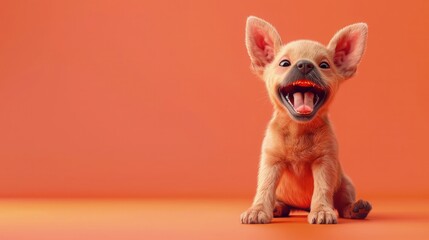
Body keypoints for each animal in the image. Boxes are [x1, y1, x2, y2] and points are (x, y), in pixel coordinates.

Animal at [241, 15, 372, 224]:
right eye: (284, 63)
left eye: (324, 65)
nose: (304, 64)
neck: (298, 130)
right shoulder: (271, 162)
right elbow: (264, 188)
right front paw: (258, 210)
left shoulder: (325, 163)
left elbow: (322, 189)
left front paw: (322, 211)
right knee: (281, 203)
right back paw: (277, 208)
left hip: (346, 185)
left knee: (343, 204)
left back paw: (356, 209)